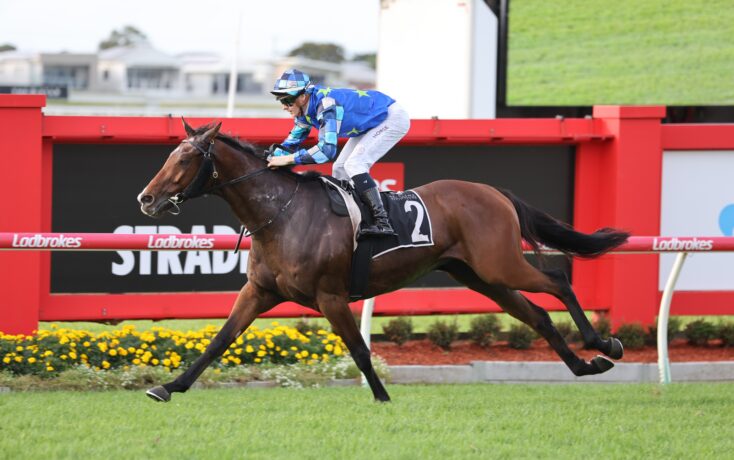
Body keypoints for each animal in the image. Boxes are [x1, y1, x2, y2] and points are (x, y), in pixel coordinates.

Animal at [138, 120, 629, 403]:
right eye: (168, 154)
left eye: (185, 158)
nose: (146, 199)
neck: (283, 214)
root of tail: (494, 192)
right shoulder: (260, 291)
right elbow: (219, 341)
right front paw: (168, 386)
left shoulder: (330, 295)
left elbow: (358, 348)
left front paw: (381, 397)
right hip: (481, 276)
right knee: (538, 315)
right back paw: (587, 365)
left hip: (499, 265)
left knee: (559, 279)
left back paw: (605, 344)